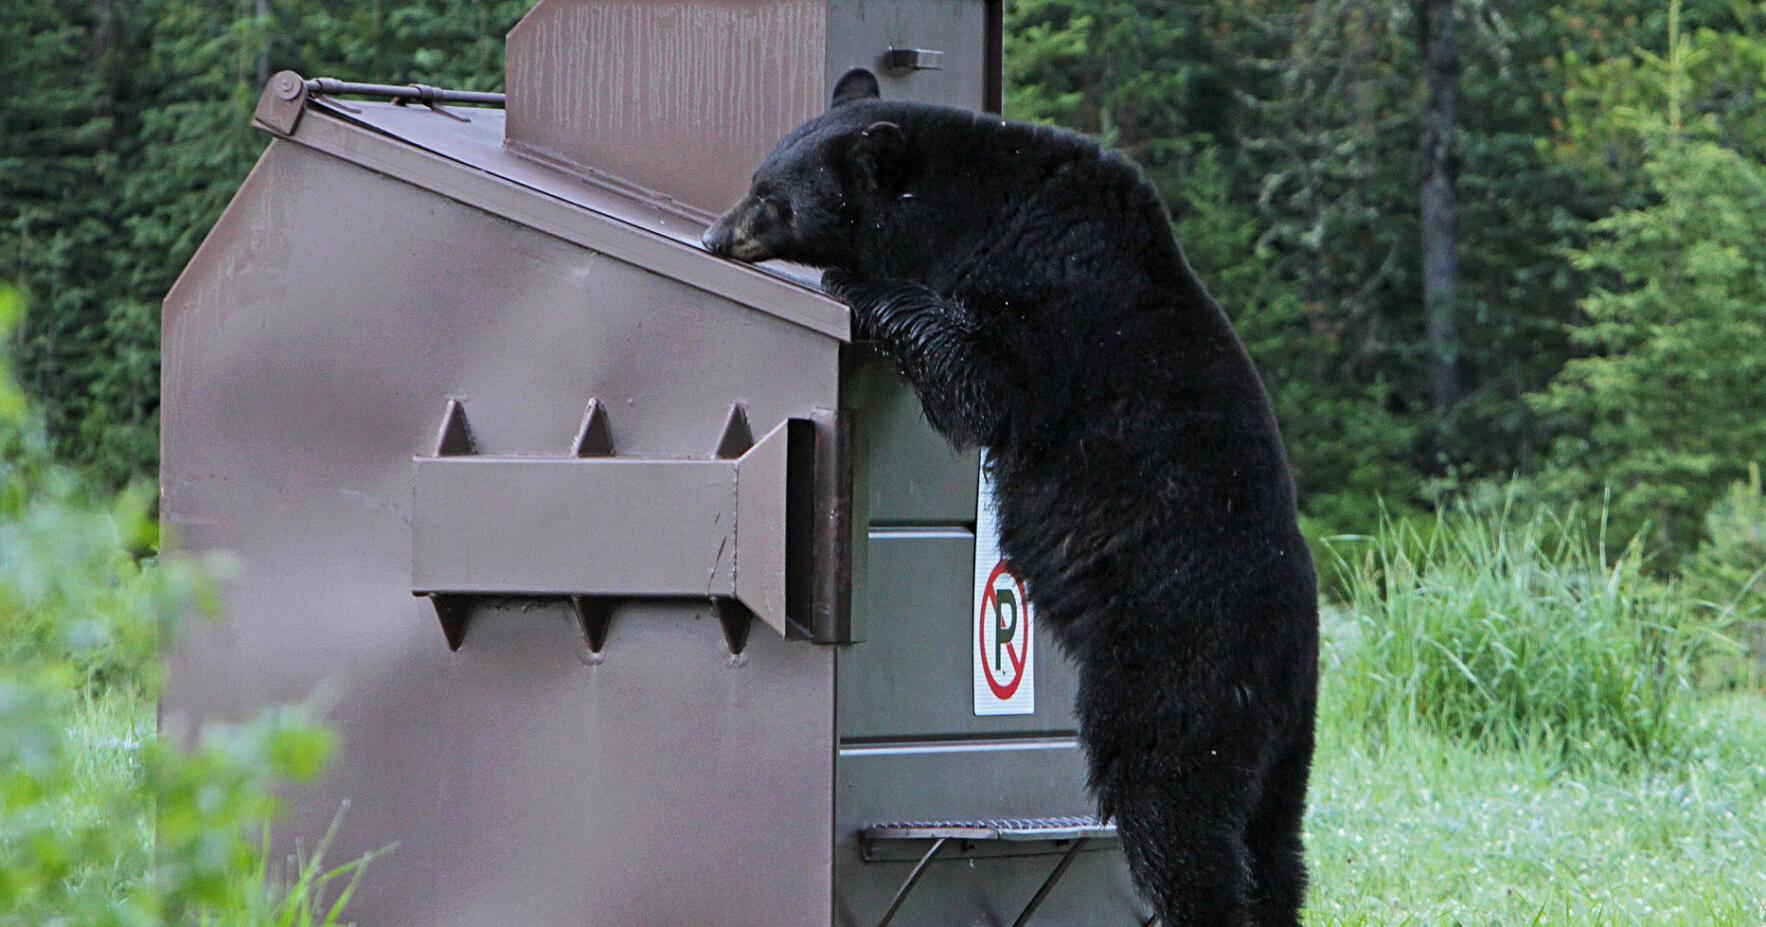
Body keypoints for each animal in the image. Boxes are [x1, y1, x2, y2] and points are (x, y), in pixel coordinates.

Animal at [704, 69, 1320, 927]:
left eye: (770, 194)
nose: (714, 236)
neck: (982, 206)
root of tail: (1287, 648)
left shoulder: (1051, 288)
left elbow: (981, 384)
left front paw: (862, 285)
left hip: (1175, 668)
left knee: (1174, 808)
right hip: (1287, 738)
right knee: (1275, 843)